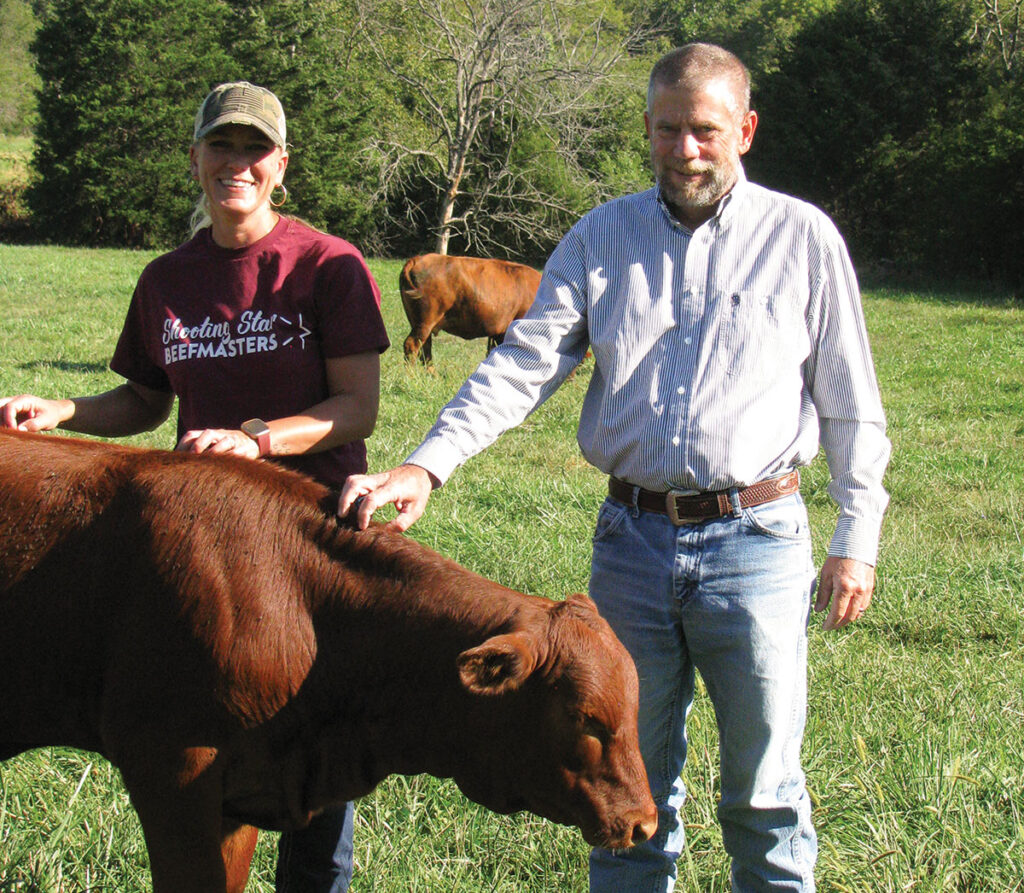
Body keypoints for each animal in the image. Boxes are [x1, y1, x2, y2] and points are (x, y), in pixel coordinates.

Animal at [399, 250, 544, 362]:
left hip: (420, 323)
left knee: (425, 349)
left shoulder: (497, 333)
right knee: (412, 345)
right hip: (426, 321)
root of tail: (417, 259)